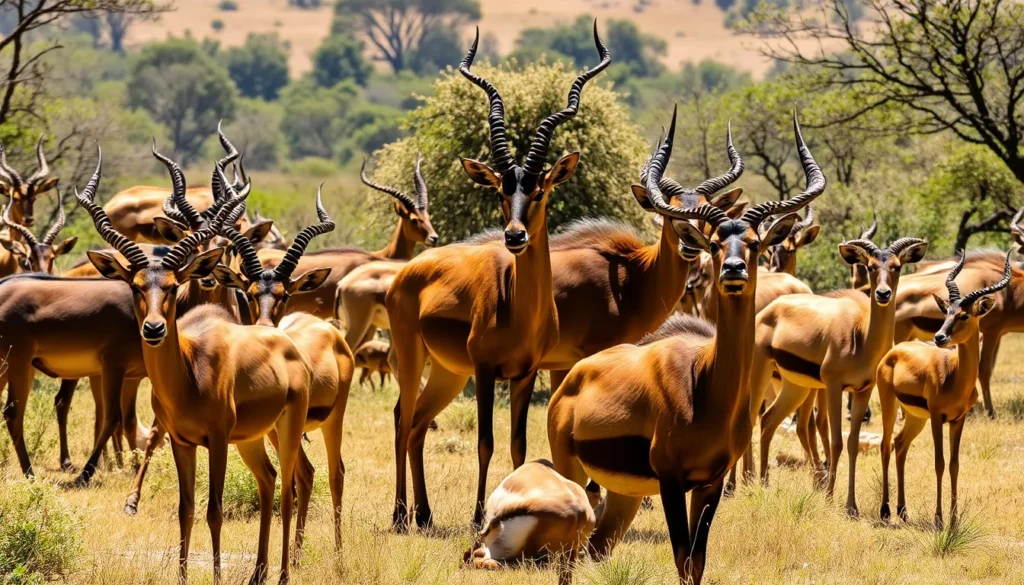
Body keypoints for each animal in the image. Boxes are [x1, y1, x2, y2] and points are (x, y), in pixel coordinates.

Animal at [79, 146, 312, 584]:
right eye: (136, 285)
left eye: (171, 286)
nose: (153, 328)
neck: (189, 373)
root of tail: (282, 342)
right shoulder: (182, 441)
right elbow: (185, 510)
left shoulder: (217, 440)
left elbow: (214, 511)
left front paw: (217, 576)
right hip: (252, 439)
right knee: (270, 480)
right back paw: (258, 573)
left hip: (286, 430)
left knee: (291, 487)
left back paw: (284, 574)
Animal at [387, 24, 609, 530]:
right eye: (501, 190)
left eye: (540, 189)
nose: (514, 235)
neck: (520, 309)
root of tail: (406, 274)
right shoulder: (488, 371)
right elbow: (485, 441)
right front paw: (476, 517)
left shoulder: (525, 374)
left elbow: (518, 445)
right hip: (413, 358)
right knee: (402, 416)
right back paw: (400, 514)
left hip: (448, 372)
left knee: (417, 423)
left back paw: (424, 515)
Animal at [547, 112, 824, 585]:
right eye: (714, 242)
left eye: (754, 243)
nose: (732, 270)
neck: (706, 385)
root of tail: (574, 381)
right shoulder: (672, 481)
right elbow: (681, 558)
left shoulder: (709, 483)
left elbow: (698, 561)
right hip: (573, 471)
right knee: (569, 553)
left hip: (624, 493)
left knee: (596, 546)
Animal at [752, 234, 928, 516]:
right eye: (870, 266)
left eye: (897, 266)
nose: (883, 293)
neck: (861, 338)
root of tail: (772, 307)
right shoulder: (834, 387)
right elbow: (835, 441)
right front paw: (829, 496)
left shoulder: (863, 390)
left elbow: (853, 443)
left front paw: (851, 506)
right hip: (761, 371)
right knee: (752, 419)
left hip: (796, 386)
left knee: (769, 420)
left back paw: (765, 484)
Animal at [877, 251, 1012, 528]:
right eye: (947, 311)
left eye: (964, 315)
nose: (939, 337)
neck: (955, 377)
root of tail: (895, 351)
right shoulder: (938, 418)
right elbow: (938, 463)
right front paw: (939, 519)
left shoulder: (958, 420)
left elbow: (954, 464)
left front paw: (954, 519)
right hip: (890, 405)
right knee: (885, 445)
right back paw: (885, 512)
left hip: (916, 417)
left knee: (900, 445)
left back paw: (903, 511)